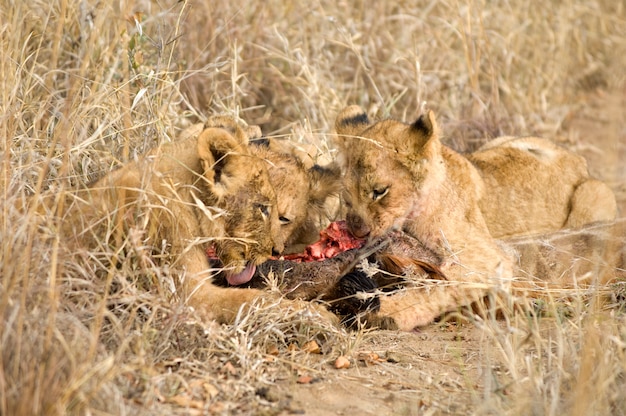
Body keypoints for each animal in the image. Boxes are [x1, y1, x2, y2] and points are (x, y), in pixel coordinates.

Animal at [332, 105, 616, 330]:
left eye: (380, 191)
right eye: (347, 196)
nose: (358, 233)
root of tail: (577, 159)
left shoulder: (489, 258)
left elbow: (441, 284)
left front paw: (387, 311)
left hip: (593, 194)